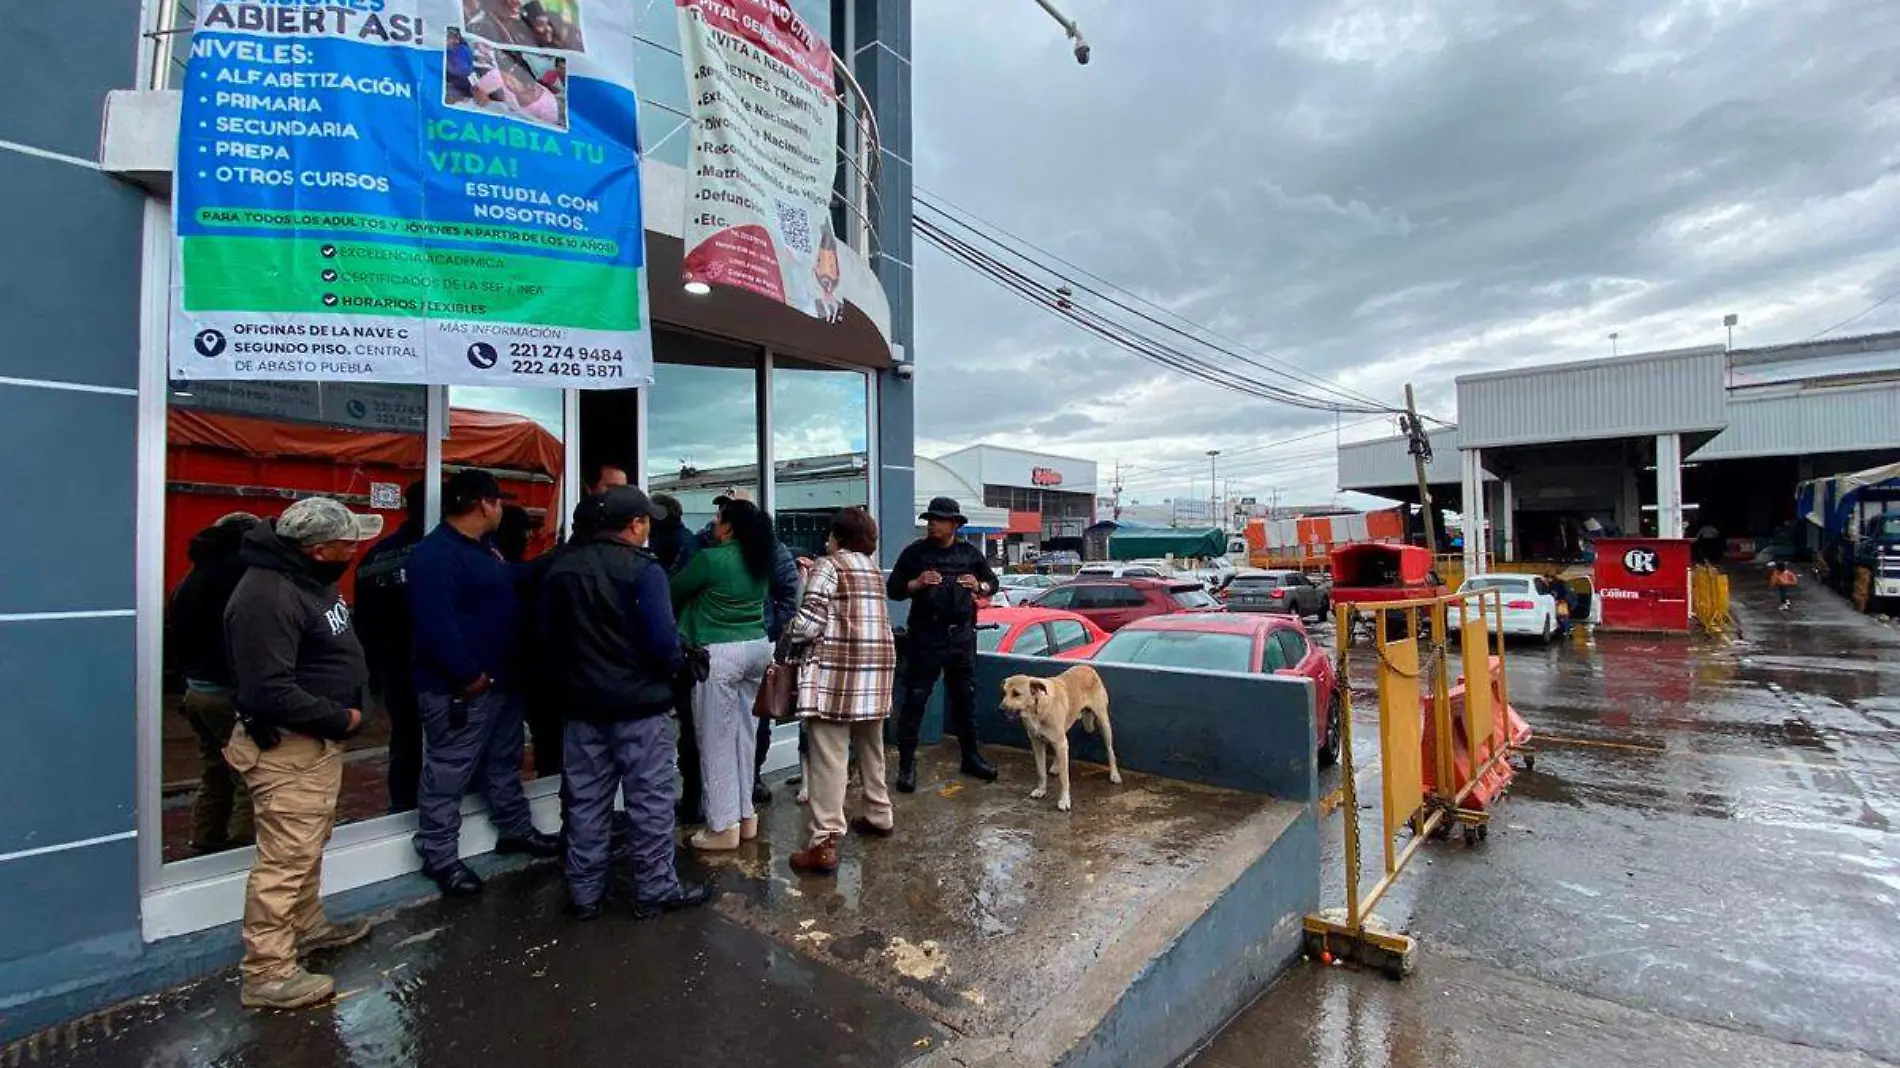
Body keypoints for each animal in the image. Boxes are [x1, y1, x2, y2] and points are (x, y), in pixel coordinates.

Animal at [1003, 665, 1117, 805]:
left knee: (1110, 749)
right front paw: (1041, 790)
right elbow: (1041, 772)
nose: (1000, 708)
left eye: (1016, 694)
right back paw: (1056, 765)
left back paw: (1115, 774)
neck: (1038, 709)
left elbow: (1064, 777)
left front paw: (1064, 800)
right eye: (1004, 692)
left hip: (1103, 723)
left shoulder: (1060, 742)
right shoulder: (1037, 743)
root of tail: (1087, 667)